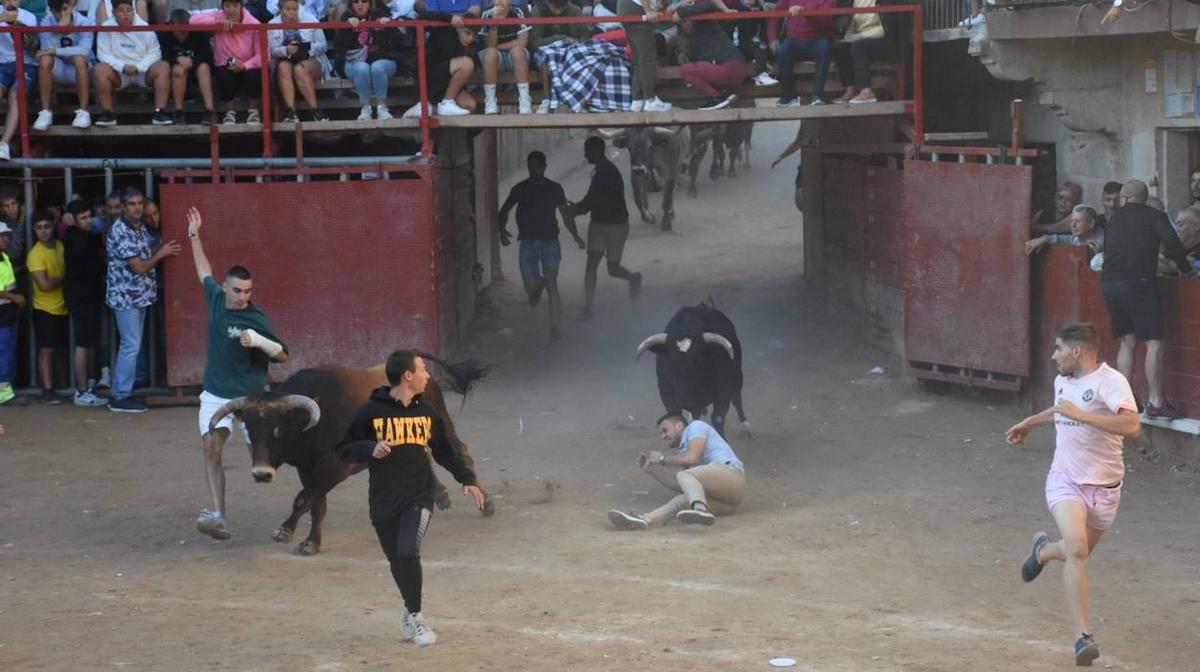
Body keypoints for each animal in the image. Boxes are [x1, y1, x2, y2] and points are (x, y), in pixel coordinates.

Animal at [207, 362, 492, 556]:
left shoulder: (334, 467)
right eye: (250, 430)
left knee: (459, 452)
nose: (261, 474)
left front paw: (284, 531)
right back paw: (440, 494)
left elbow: (303, 499)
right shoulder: (308, 469)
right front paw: (311, 543)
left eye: (279, 430)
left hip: (442, 424)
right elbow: (316, 504)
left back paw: (485, 502)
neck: (310, 423)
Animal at [638, 302, 748, 439]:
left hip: (738, 376)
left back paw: (745, 427)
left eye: (699, 358)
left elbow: (718, 418)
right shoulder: (665, 391)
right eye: (670, 358)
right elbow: (676, 415)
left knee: (737, 399)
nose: (684, 399)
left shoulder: (724, 389)